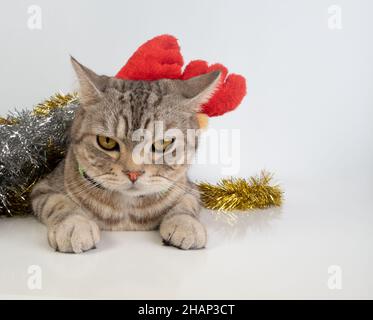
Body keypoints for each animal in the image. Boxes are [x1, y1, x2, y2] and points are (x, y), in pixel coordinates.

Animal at [31, 57, 221, 252]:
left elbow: (186, 204)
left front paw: (186, 224)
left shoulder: (189, 188)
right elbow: (59, 203)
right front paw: (74, 224)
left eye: (163, 143)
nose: (133, 173)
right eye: (107, 142)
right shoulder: (43, 188)